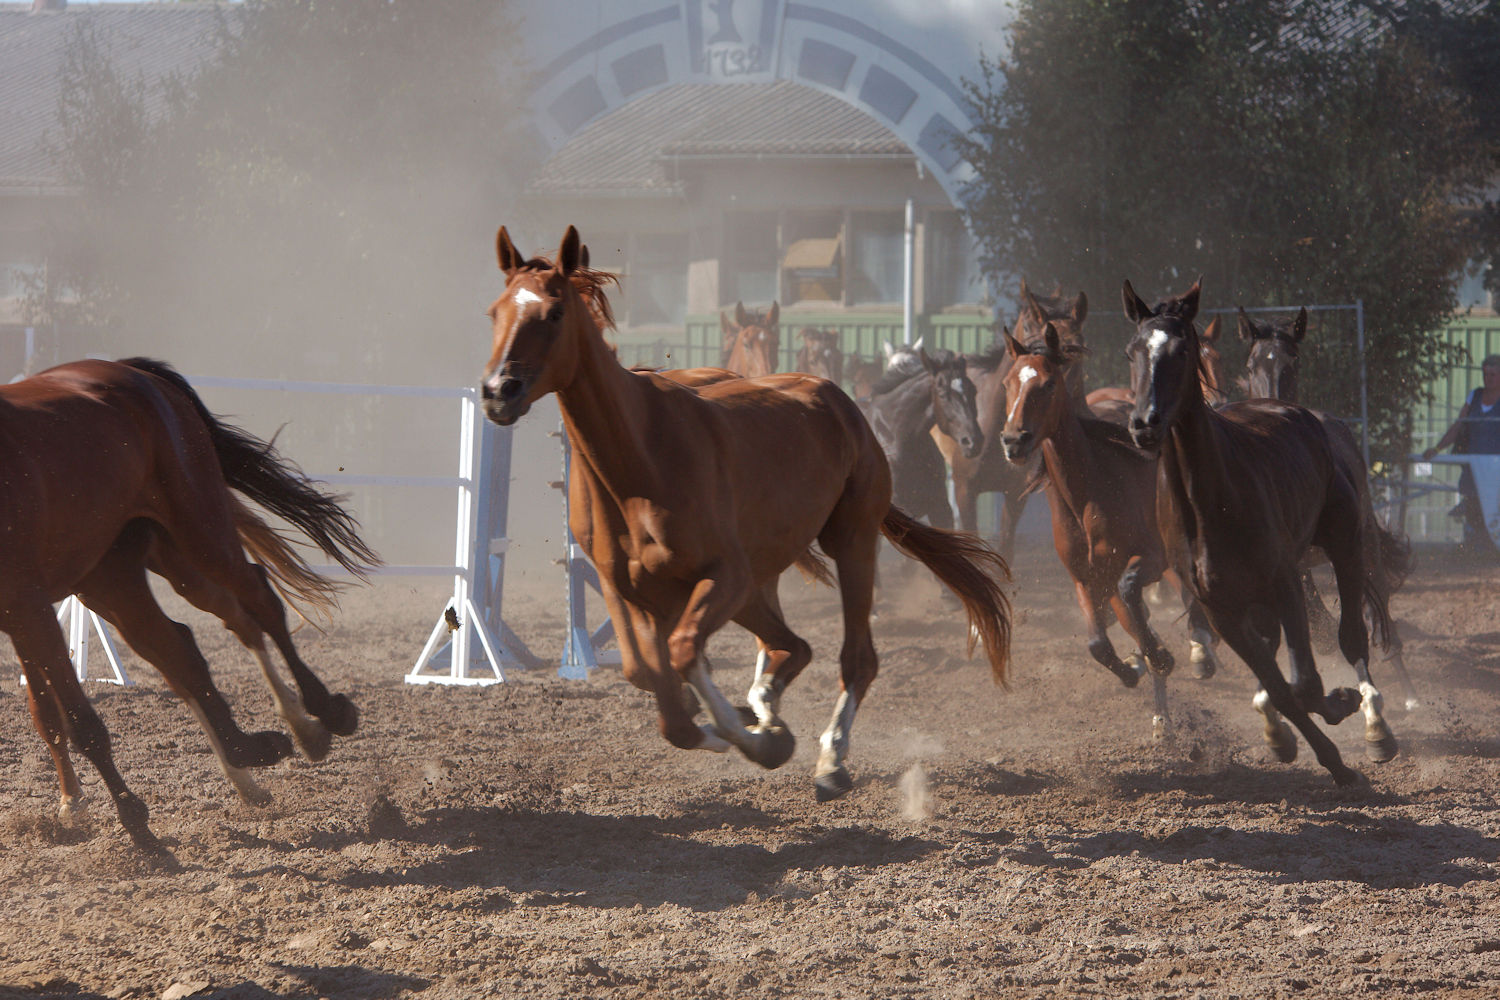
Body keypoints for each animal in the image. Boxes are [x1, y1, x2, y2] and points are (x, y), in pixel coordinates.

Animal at [1, 358, 375, 851]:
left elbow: (80, 721)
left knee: (256, 602)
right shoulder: (24, 613)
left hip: (198, 536)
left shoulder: (30, 604)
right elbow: (46, 711)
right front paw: (75, 806)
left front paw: (138, 830)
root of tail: (126, 369)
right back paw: (256, 753)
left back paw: (319, 718)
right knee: (188, 649)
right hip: (126, 579)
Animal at [486, 224, 1014, 797]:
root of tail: (843, 403)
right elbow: (653, 680)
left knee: (853, 658)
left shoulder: (726, 577)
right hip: (759, 577)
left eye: (555, 313)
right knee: (787, 647)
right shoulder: (624, 586)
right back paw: (762, 706)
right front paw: (737, 723)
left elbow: (684, 652)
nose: (498, 392)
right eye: (495, 311)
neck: (640, 457)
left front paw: (754, 737)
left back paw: (828, 757)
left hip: (849, 542)